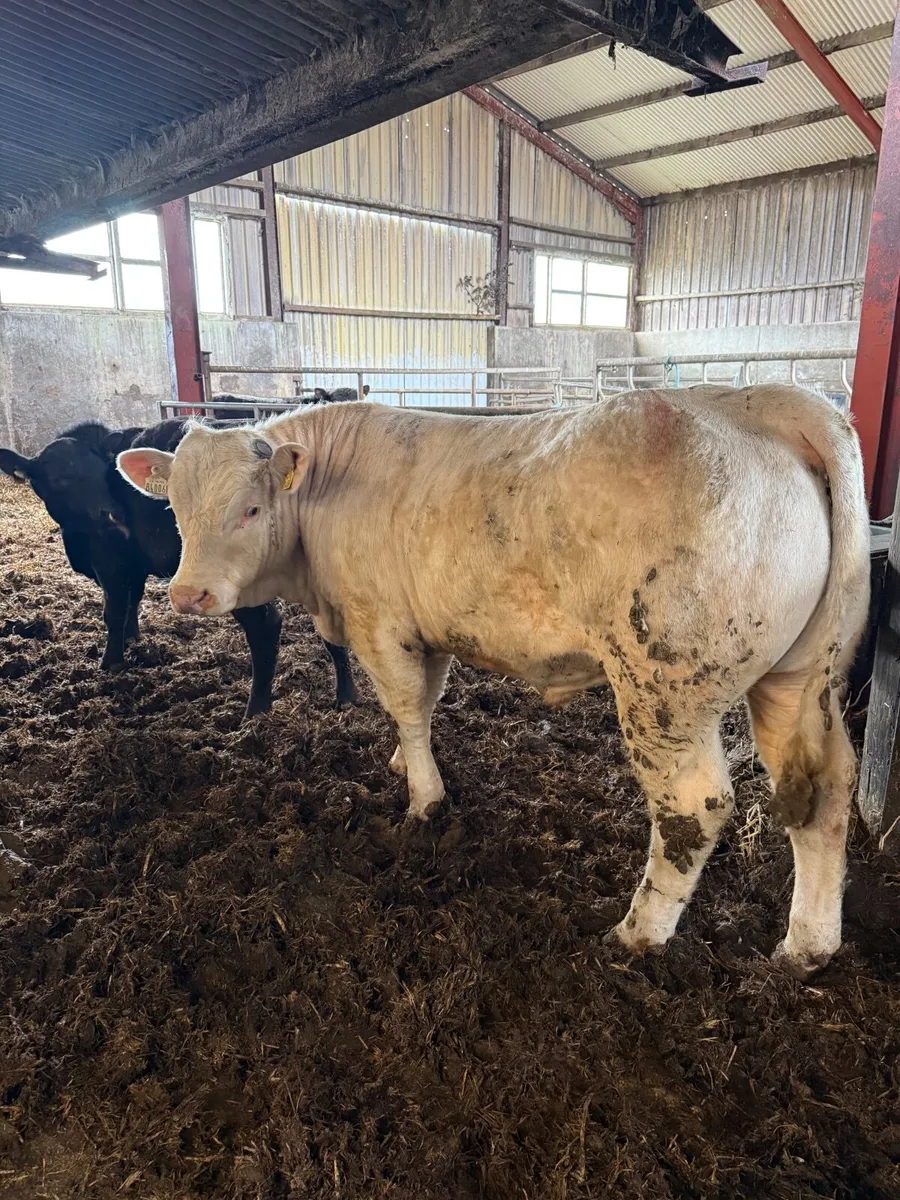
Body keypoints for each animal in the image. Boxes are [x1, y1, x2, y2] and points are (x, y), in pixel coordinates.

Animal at [0, 419, 358, 718]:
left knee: (265, 626)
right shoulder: (133, 563)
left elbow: (113, 611)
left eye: (97, 473)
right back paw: (346, 697)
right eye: (60, 478)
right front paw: (133, 641)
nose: (112, 512)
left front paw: (110, 663)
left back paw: (255, 712)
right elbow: (132, 602)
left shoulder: (110, 559)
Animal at [116, 385, 870, 979]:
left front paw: (423, 799)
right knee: (827, 792)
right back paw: (806, 946)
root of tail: (759, 401)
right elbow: (427, 700)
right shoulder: (430, 629)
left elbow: (405, 703)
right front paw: (403, 763)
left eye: (248, 509)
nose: (187, 595)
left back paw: (637, 933)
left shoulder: (380, 622)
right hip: (799, 680)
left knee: (694, 806)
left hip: (664, 691)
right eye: (174, 508)